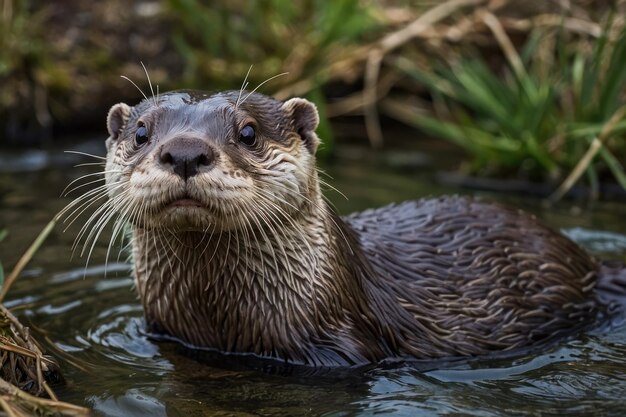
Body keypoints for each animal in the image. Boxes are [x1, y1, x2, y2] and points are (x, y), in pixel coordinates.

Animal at [90, 89, 620, 366]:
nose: (184, 151)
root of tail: (587, 262)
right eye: (142, 132)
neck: (219, 321)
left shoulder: (339, 349)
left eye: (248, 132)